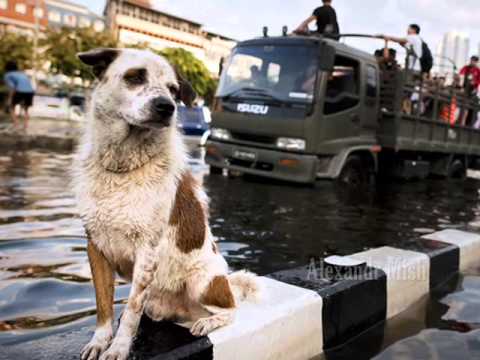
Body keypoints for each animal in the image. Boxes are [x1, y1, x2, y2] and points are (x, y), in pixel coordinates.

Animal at [75, 48, 260, 360]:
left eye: (173, 90)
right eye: (135, 77)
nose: (166, 107)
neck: (123, 166)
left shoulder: (146, 252)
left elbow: (131, 310)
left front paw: (119, 347)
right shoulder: (96, 246)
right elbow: (103, 306)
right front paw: (99, 341)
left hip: (203, 282)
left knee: (231, 309)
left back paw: (208, 322)